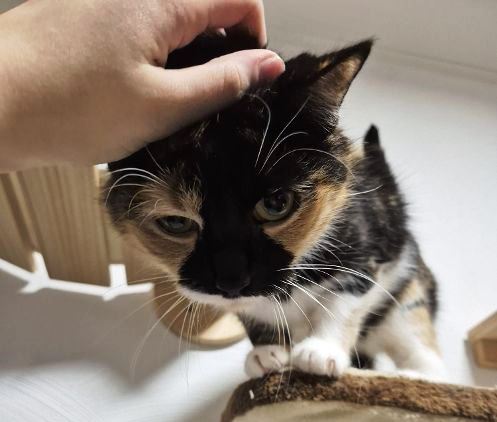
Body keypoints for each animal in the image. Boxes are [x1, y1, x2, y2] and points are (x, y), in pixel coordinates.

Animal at [104, 31, 446, 380]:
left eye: (276, 204)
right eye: (176, 223)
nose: (232, 281)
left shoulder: (366, 239)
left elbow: (348, 292)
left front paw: (320, 351)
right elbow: (249, 313)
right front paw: (267, 352)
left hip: (408, 294)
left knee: (428, 356)